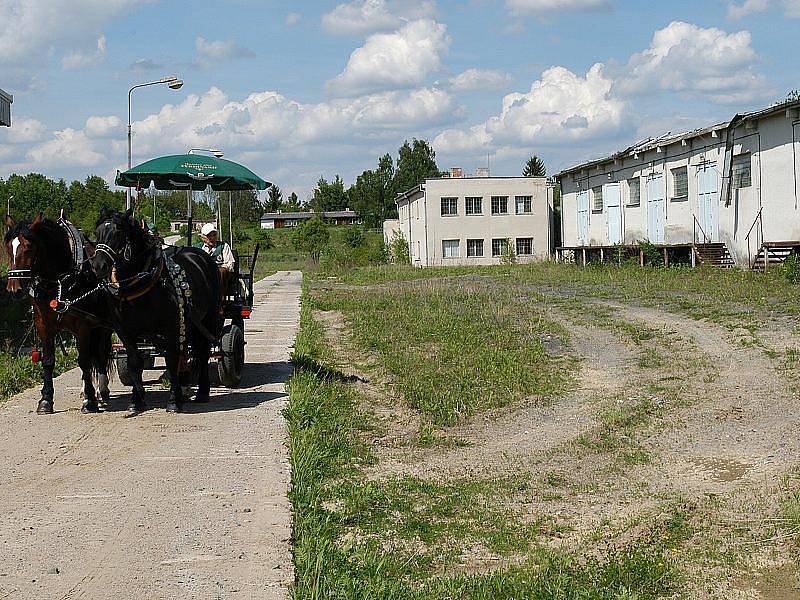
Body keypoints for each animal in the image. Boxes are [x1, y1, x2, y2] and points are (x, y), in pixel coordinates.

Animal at [4, 213, 113, 414]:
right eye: (8, 247)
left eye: (29, 247)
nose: (14, 289)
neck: (58, 281)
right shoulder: (43, 323)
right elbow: (48, 360)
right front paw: (46, 399)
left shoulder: (83, 324)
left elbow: (84, 360)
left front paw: (89, 401)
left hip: (103, 326)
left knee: (100, 354)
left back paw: (101, 390)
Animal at [90, 209, 222, 414]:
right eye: (97, 232)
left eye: (118, 233)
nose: (98, 266)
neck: (141, 283)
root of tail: (201, 256)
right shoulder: (125, 331)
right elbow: (135, 362)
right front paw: (136, 401)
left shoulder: (170, 327)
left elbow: (171, 359)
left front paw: (173, 401)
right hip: (189, 323)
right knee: (188, 351)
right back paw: (186, 386)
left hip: (207, 318)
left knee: (202, 351)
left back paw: (202, 392)